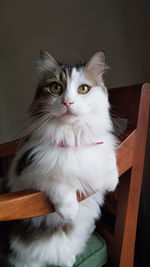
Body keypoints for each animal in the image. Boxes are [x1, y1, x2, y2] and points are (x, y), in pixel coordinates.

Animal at [7, 50, 118, 267]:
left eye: (83, 89)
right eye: (55, 88)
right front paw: (69, 210)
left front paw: (112, 182)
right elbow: (56, 181)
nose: (67, 102)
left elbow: (109, 160)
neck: (73, 138)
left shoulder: (102, 146)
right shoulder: (26, 175)